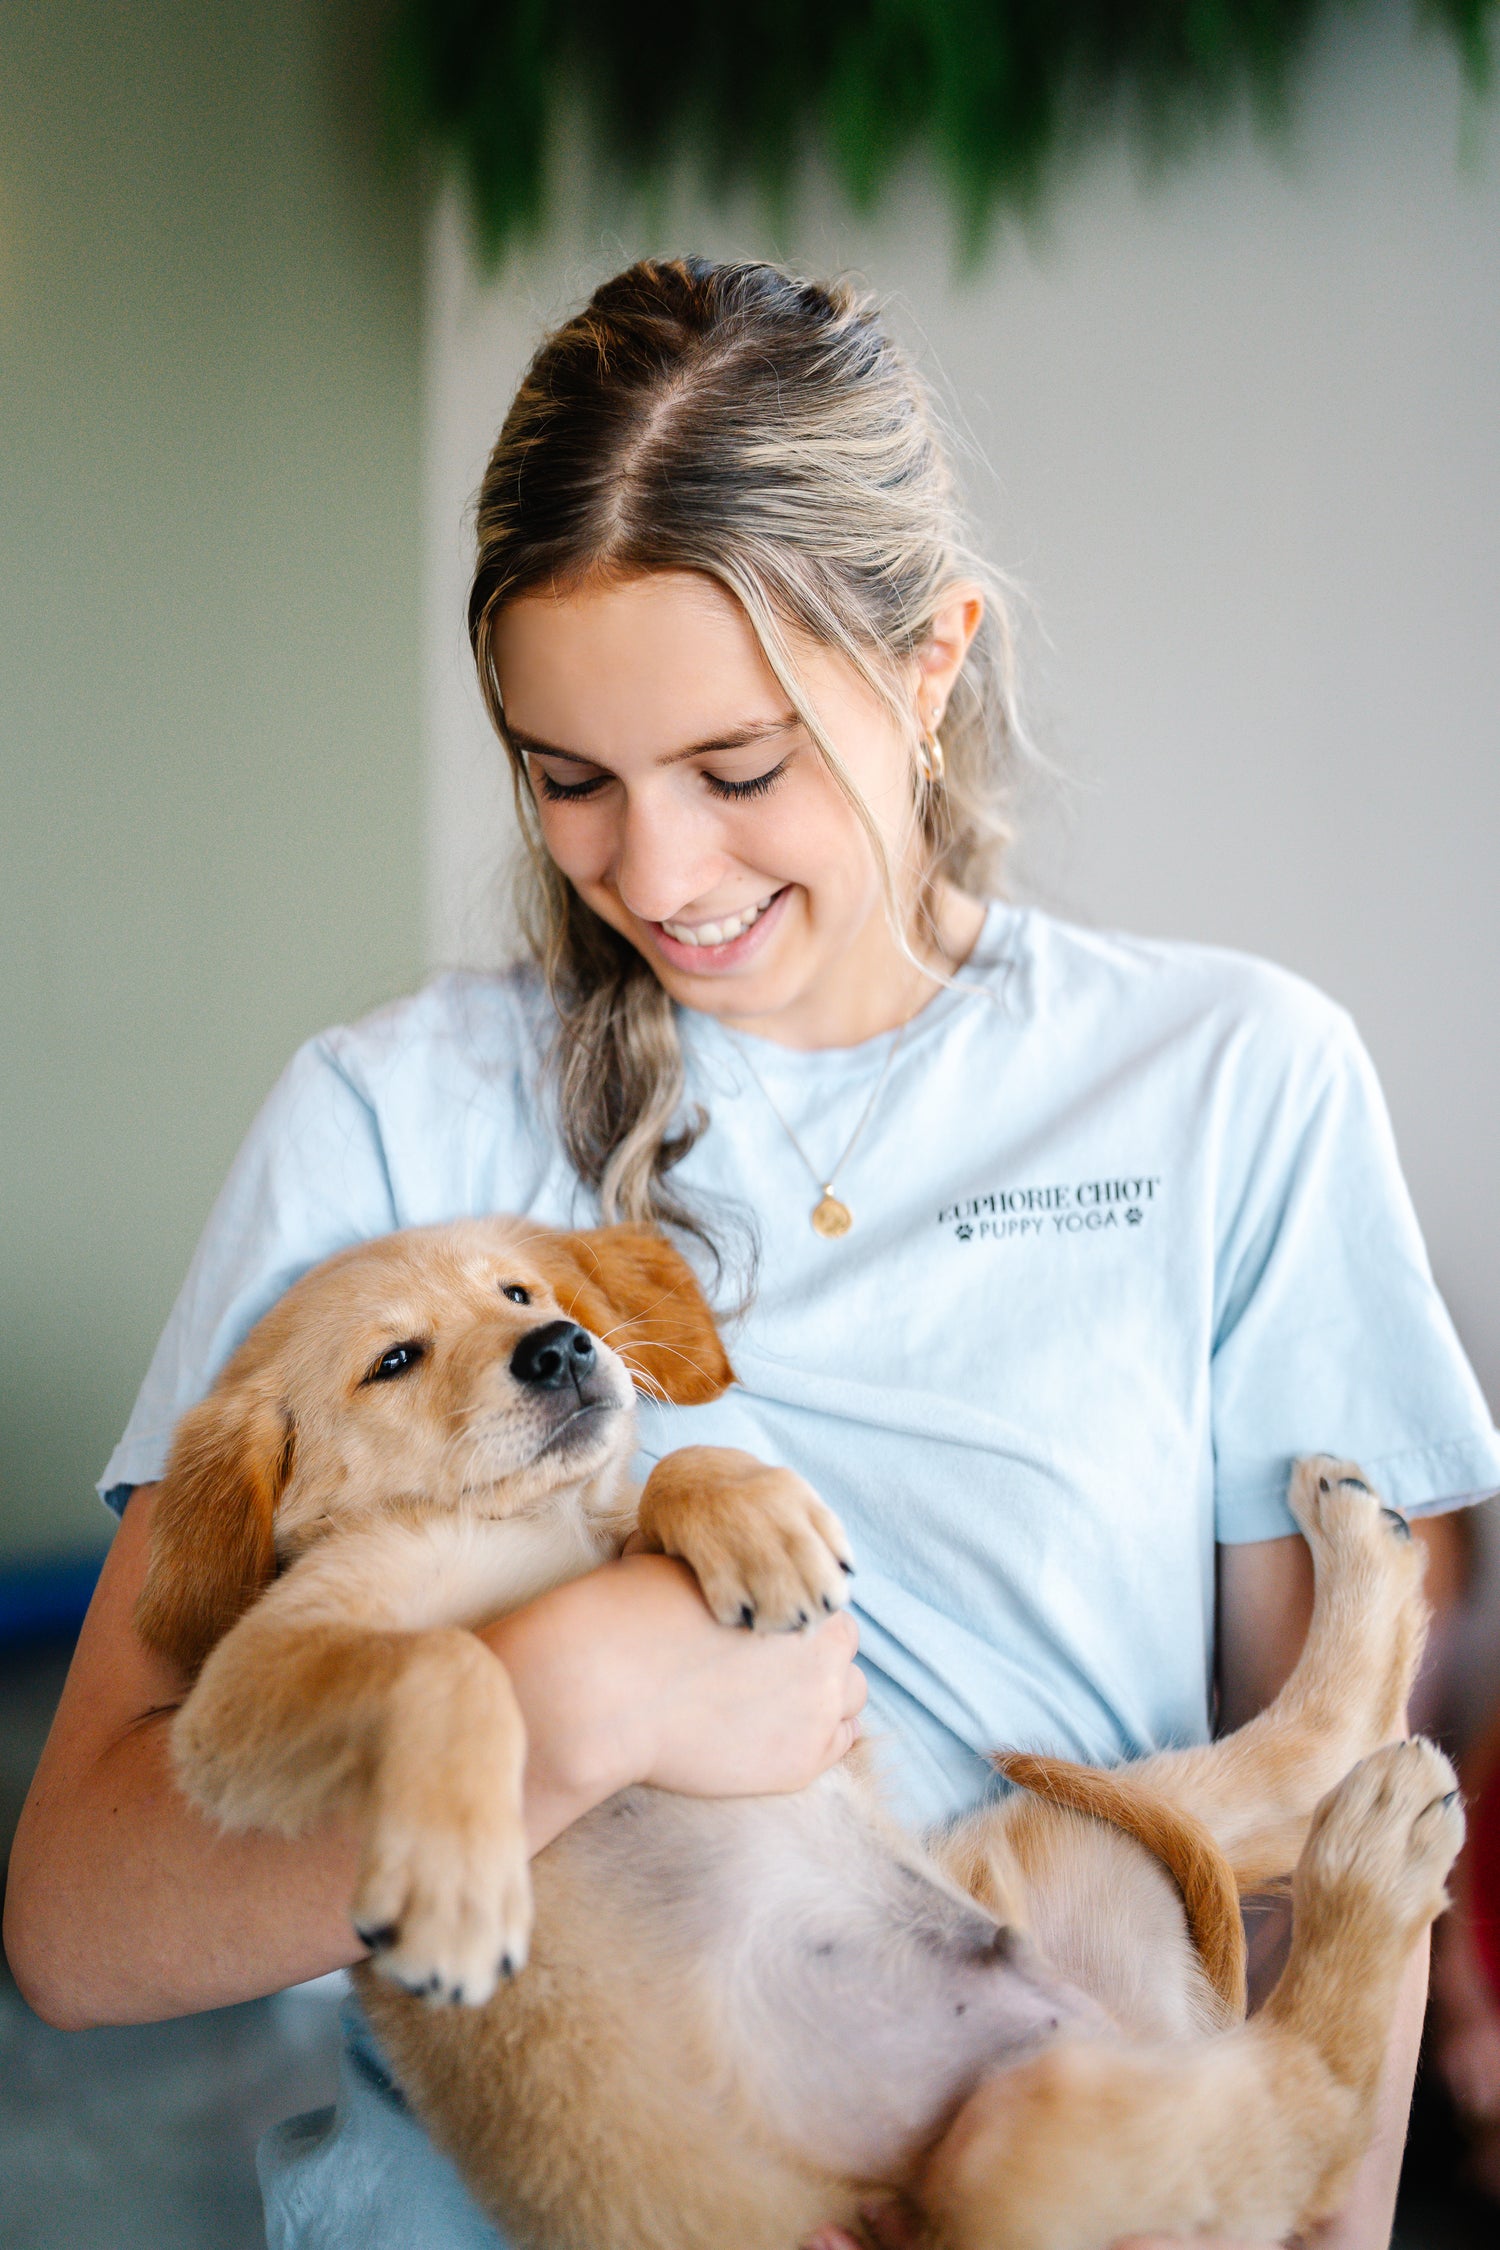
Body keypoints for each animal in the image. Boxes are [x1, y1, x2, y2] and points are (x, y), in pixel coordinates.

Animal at [134, 1224, 1457, 2250]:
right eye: (393, 1361)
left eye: (517, 1293)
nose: (561, 1344)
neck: (525, 1533)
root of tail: (1141, 2030)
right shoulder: (238, 1694)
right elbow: (455, 1660)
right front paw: (456, 1886)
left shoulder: (600, 1527)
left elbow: (666, 1478)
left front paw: (751, 1515)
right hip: (1018, 2153)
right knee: (1322, 2091)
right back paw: (1380, 1854)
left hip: (1060, 1873)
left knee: (1305, 1792)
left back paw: (1363, 1557)